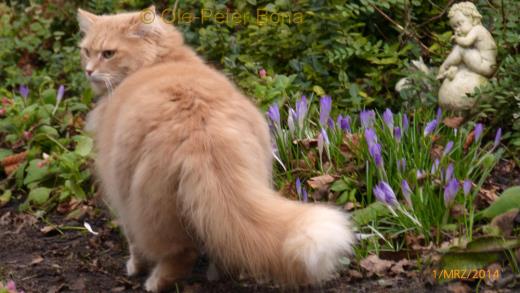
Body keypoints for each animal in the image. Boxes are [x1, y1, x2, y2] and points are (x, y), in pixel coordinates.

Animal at [77, 6, 356, 290]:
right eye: (86, 51)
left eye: (108, 54)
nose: (88, 71)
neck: (161, 61)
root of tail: (203, 133)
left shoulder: (119, 193)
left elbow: (133, 243)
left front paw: (134, 267)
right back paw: (215, 274)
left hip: (147, 207)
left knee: (180, 254)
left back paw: (155, 282)